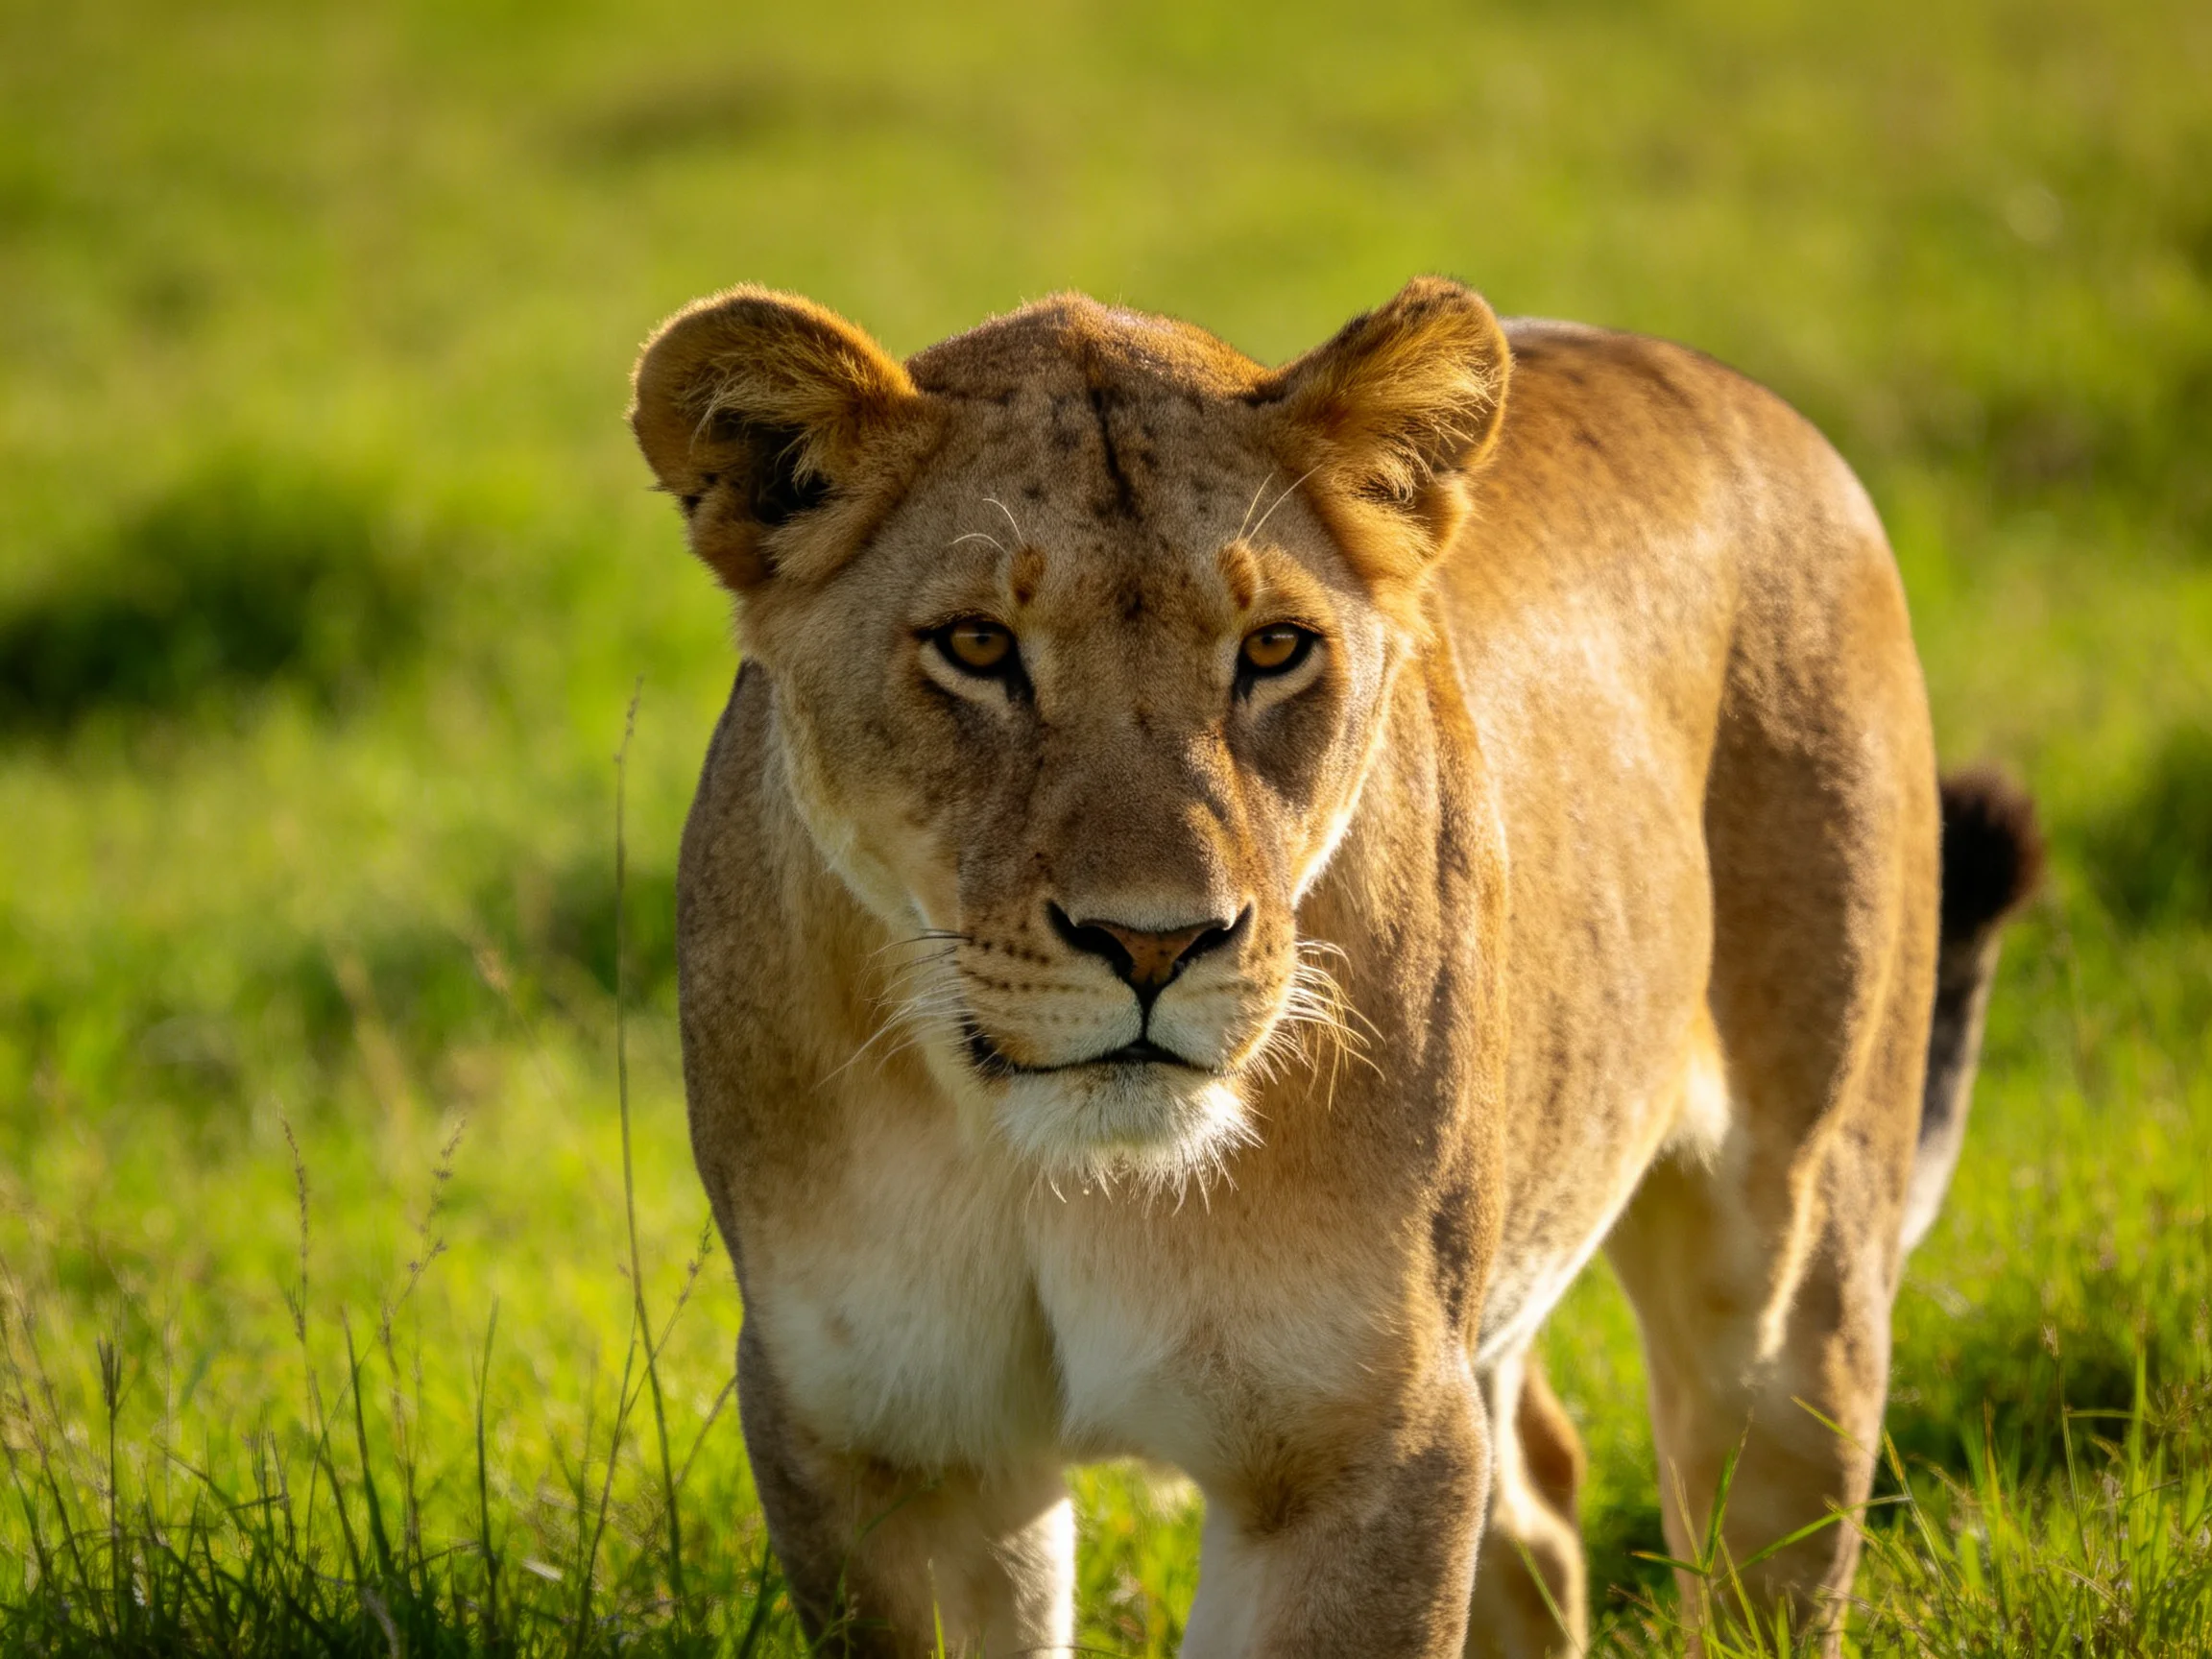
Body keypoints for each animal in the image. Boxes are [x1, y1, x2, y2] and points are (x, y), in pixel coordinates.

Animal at [628, 278, 2041, 1657]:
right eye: (976, 648)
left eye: (1271, 650)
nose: (1156, 943)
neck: (1062, 1177)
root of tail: (1752, 400)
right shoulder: (887, 1453)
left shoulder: (1366, 1438)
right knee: (1540, 1494)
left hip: (1792, 1267)